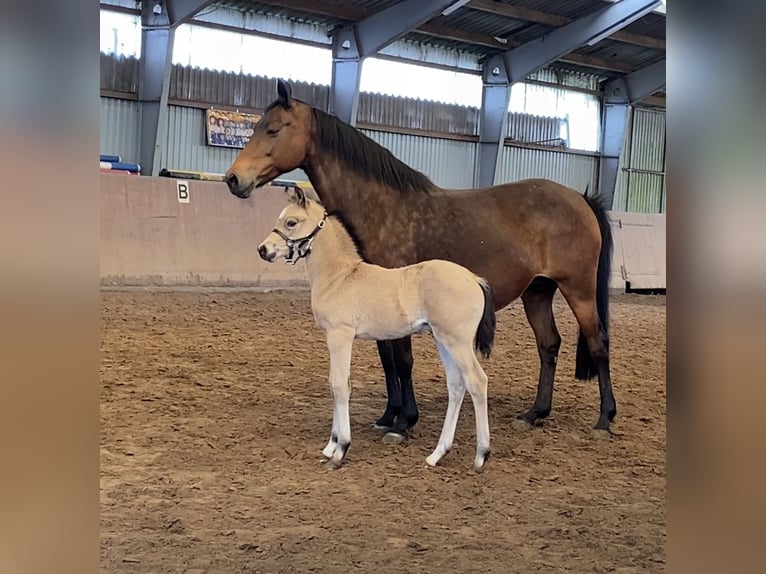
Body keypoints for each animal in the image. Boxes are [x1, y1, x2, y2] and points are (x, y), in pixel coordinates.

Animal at [226, 79, 616, 440]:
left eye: (274, 128)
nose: (233, 179)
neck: (382, 209)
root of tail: (580, 199)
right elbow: (387, 360)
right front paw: (389, 415)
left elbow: (402, 360)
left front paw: (405, 422)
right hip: (537, 291)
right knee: (549, 345)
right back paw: (536, 413)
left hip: (578, 289)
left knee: (598, 342)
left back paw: (604, 418)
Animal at [258, 189, 498, 472]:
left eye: (291, 222)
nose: (263, 250)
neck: (339, 277)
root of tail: (474, 278)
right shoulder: (335, 338)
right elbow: (337, 383)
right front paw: (330, 446)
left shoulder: (340, 336)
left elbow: (339, 385)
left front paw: (340, 450)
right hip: (443, 340)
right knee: (457, 385)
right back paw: (436, 455)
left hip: (457, 342)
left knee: (477, 382)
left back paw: (481, 456)